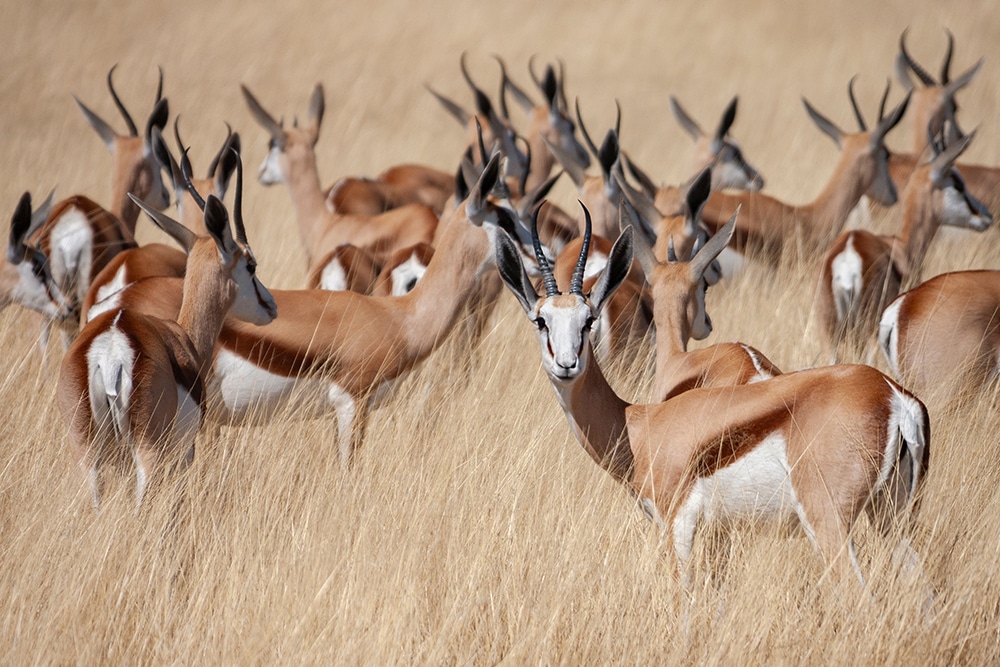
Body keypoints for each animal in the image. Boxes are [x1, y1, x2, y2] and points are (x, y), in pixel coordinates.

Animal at [57, 190, 277, 509]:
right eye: (251, 265)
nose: (271, 305)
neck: (185, 336)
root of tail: (111, 351)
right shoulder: (184, 455)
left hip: (87, 455)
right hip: (147, 454)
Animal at [495, 207, 929, 586]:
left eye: (588, 320)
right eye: (540, 320)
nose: (566, 364)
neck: (639, 426)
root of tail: (894, 396)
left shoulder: (678, 527)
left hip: (829, 523)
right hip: (890, 518)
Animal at [817, 129, 992, 362]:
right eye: (958, 184)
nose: (987, 215)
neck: (901, 246)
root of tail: (848, 252)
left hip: (830, 335)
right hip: (870, 333)